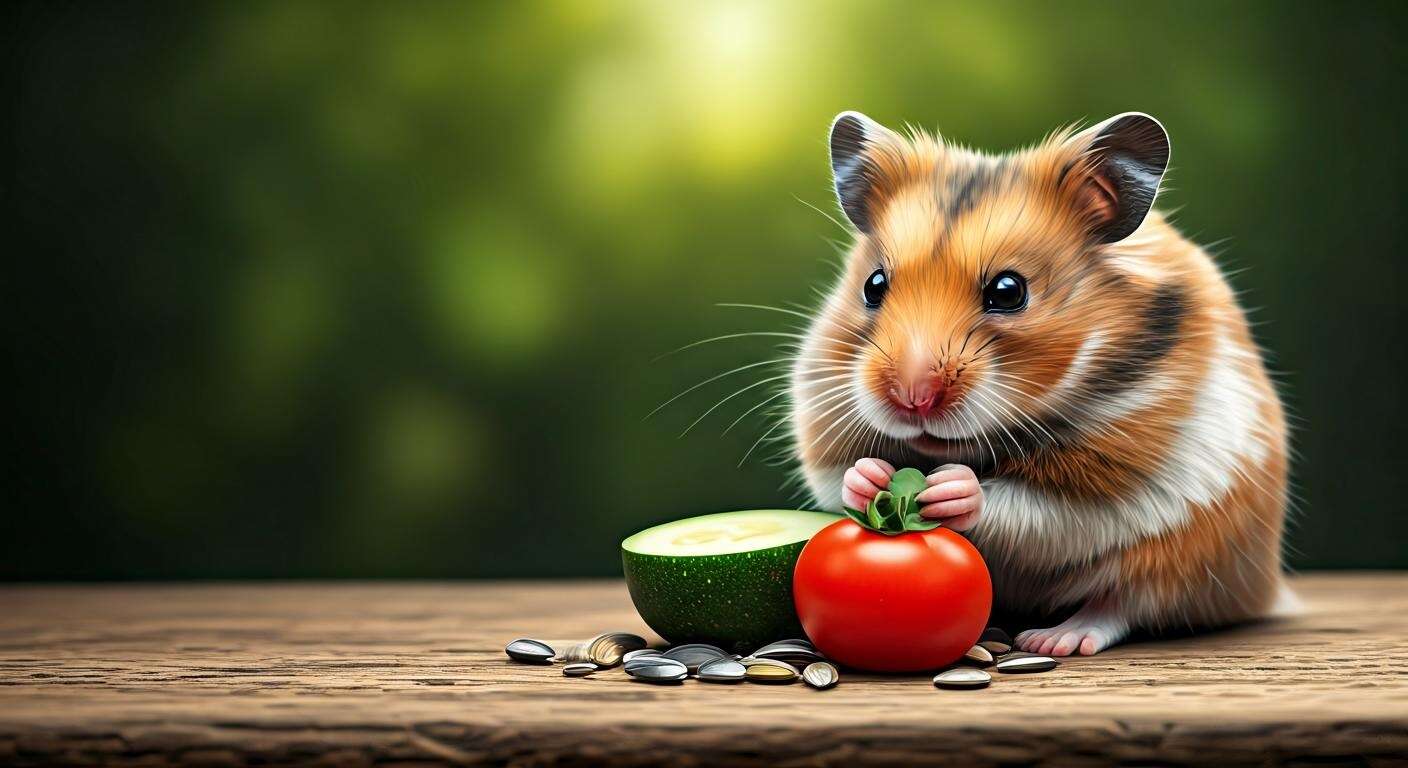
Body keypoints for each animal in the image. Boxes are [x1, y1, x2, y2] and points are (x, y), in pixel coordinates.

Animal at [790, 111, 1289, 656]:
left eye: (1009, 291)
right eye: (873, 285)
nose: (912, 399)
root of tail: (1266, 589)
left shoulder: (1116, 477)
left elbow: (1031, 505)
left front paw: (953, 490)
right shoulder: (822, 411)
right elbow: (840, 474)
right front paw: (870, 476)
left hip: (1192, 557)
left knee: (1124, 603)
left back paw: (1053, 641)